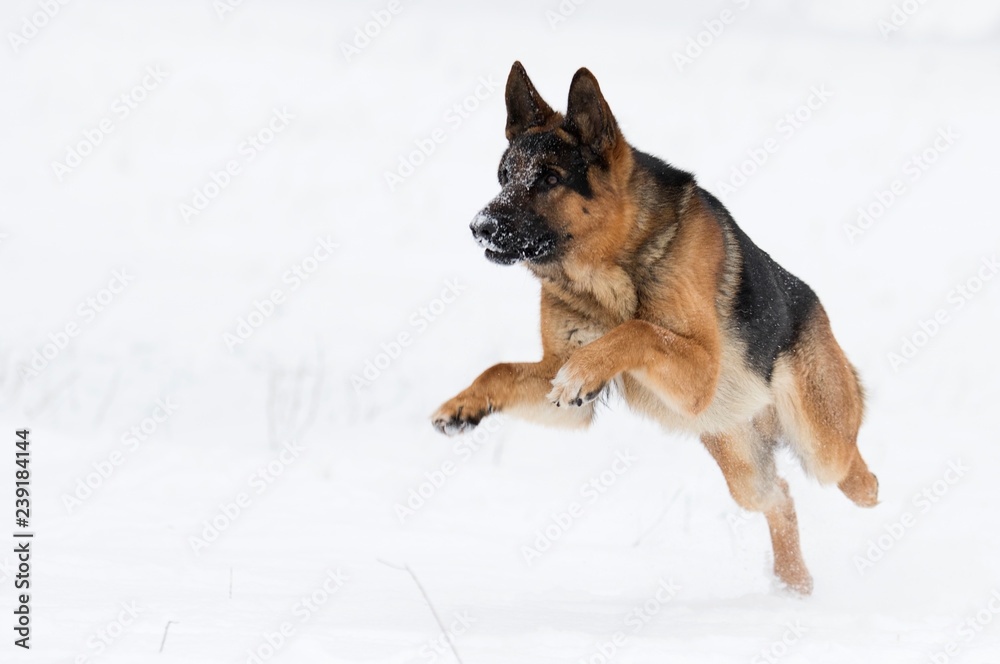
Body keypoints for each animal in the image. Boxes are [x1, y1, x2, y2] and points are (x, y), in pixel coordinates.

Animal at [430, 61, 876, 592]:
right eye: (503, 177)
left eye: (550, 178)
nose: (479, 227)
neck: (608, 268)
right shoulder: (565, 390)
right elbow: (500, 369)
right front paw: (463, 405)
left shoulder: (700, 372)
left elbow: (637, 331)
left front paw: (589, 366)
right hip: (740, 460)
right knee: (780, 497)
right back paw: (794, 585)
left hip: (819, 441)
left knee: (851, 471)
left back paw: (865, 501)